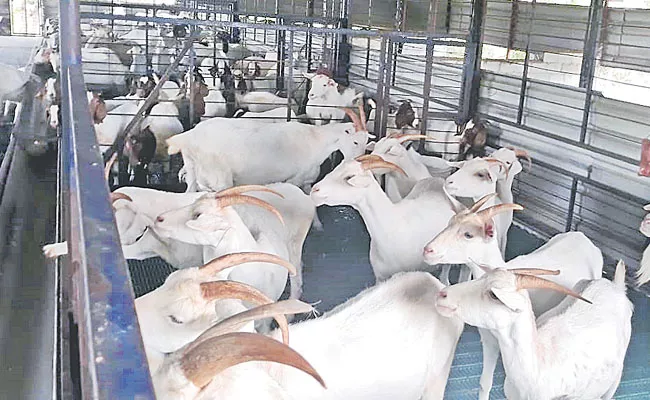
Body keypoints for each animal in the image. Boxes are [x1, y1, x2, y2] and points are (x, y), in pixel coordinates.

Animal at [167, 107, 370, 193]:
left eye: (366, 142)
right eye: (354, 142)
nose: (360, 163)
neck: (315, 140)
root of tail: (190, 136)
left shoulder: (306, 180)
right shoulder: (294, 179)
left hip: (192, 170)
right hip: (219, 178)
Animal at [422, 198, 600, 398]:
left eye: (468, 234)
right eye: (450, 223)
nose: (428, 250)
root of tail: (584, 238)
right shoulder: (489, 339)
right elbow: (484, 383)